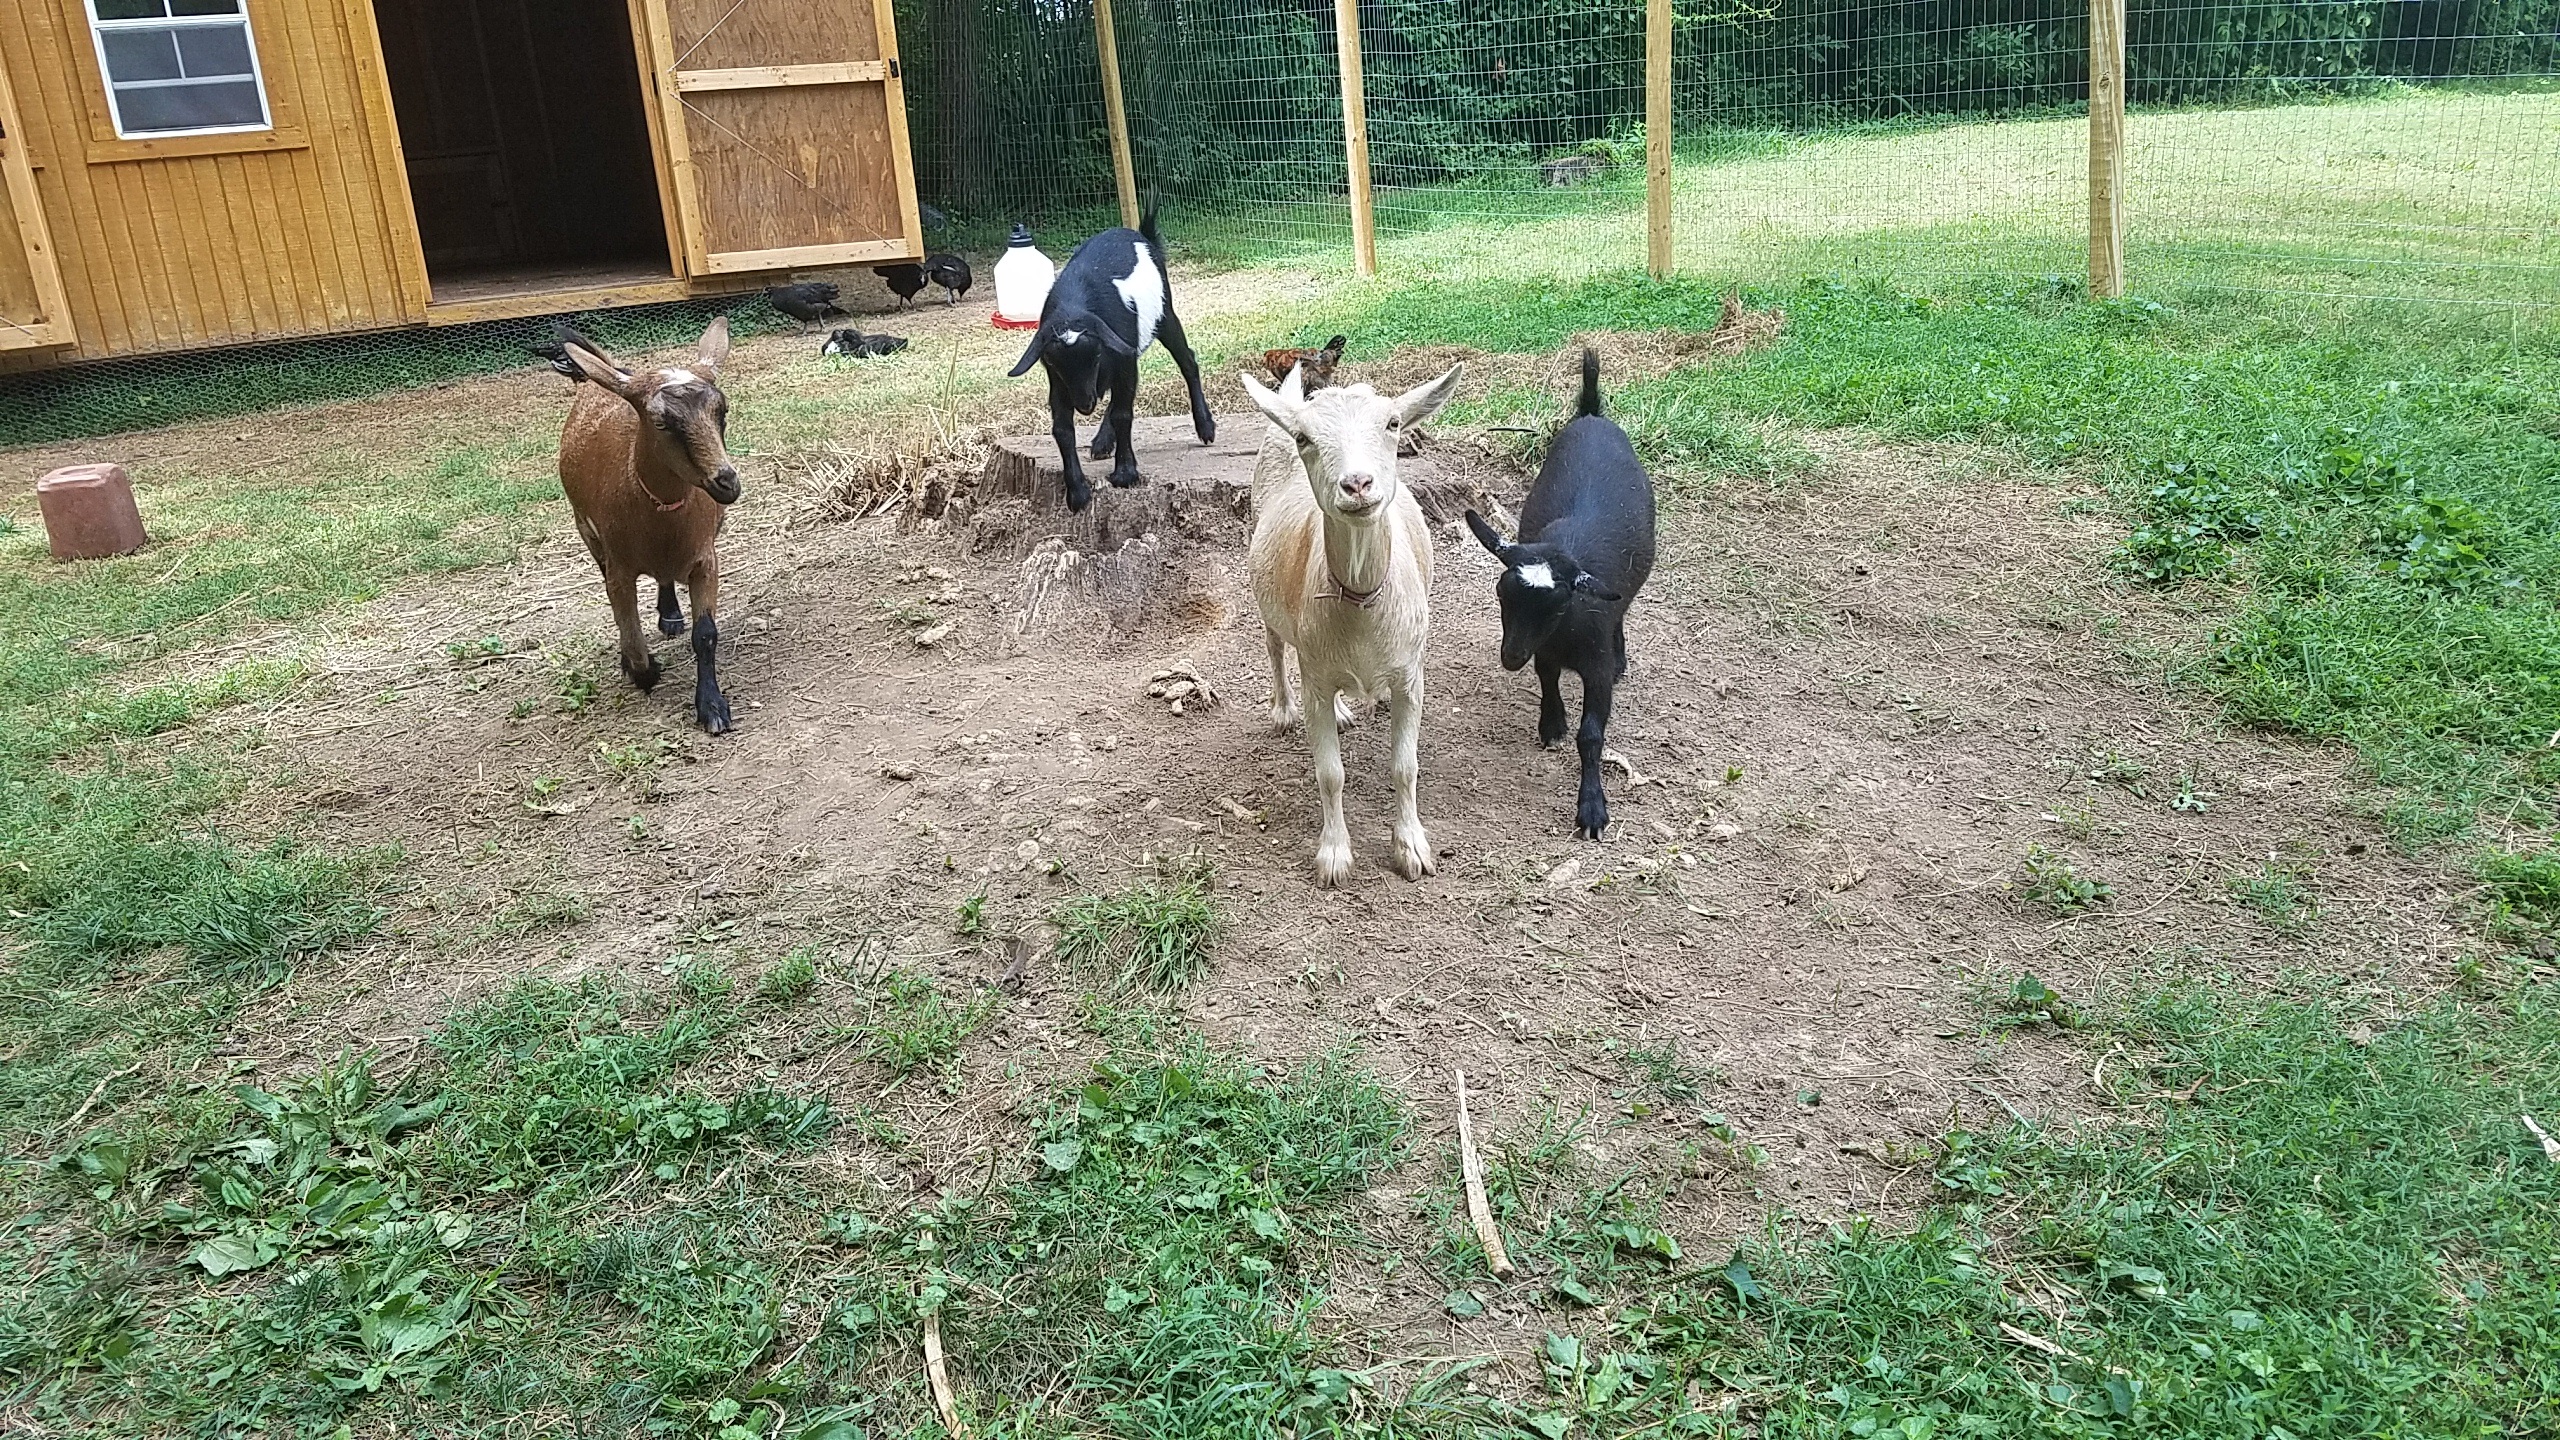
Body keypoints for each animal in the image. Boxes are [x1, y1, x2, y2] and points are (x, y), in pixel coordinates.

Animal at [558, 320, 747, 732]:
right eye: (660, 423)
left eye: (722, 412)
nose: (726, 482)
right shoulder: (618, 568)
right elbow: (629, 633)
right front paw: (643, 672)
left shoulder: (705, 559)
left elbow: (706, 635)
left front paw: (712, 706)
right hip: (586, 531)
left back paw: (671, 613)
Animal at [998, 202, 1208, 512]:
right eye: (1054, 363)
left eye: (1095, 355)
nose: (1085, 404)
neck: (1074, 308)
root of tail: (1141, 234)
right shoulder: (1059, 382)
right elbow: (1062, 428)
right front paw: (1077, 492)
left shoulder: (1122, 359)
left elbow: (1123, 413)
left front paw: (1125, 473)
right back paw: (1101, 442)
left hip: (1164, 314)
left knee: (1187, 361)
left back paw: (1206, 427)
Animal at [1249, 358, 1474, 881]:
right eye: (1305, 438)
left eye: (1393, 424)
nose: (1356, 484)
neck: (1361, 604)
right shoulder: (1314, 674)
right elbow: (1330, 774)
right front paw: (1334, 856)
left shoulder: (1411, 674)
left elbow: (1405, 766)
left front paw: (1412, 848)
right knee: (1275, 647)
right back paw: (1283, 711)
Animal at [1464, 348, 1658, 835]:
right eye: (1501, 595)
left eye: (1557, 607)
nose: (1510, 656)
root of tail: (1591, 414)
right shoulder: (1544, 652)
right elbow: (1547, 681)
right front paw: (1551, 725)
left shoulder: (1595, 667)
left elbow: (1592, 735)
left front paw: (1592, 808)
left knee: (1623, 612)